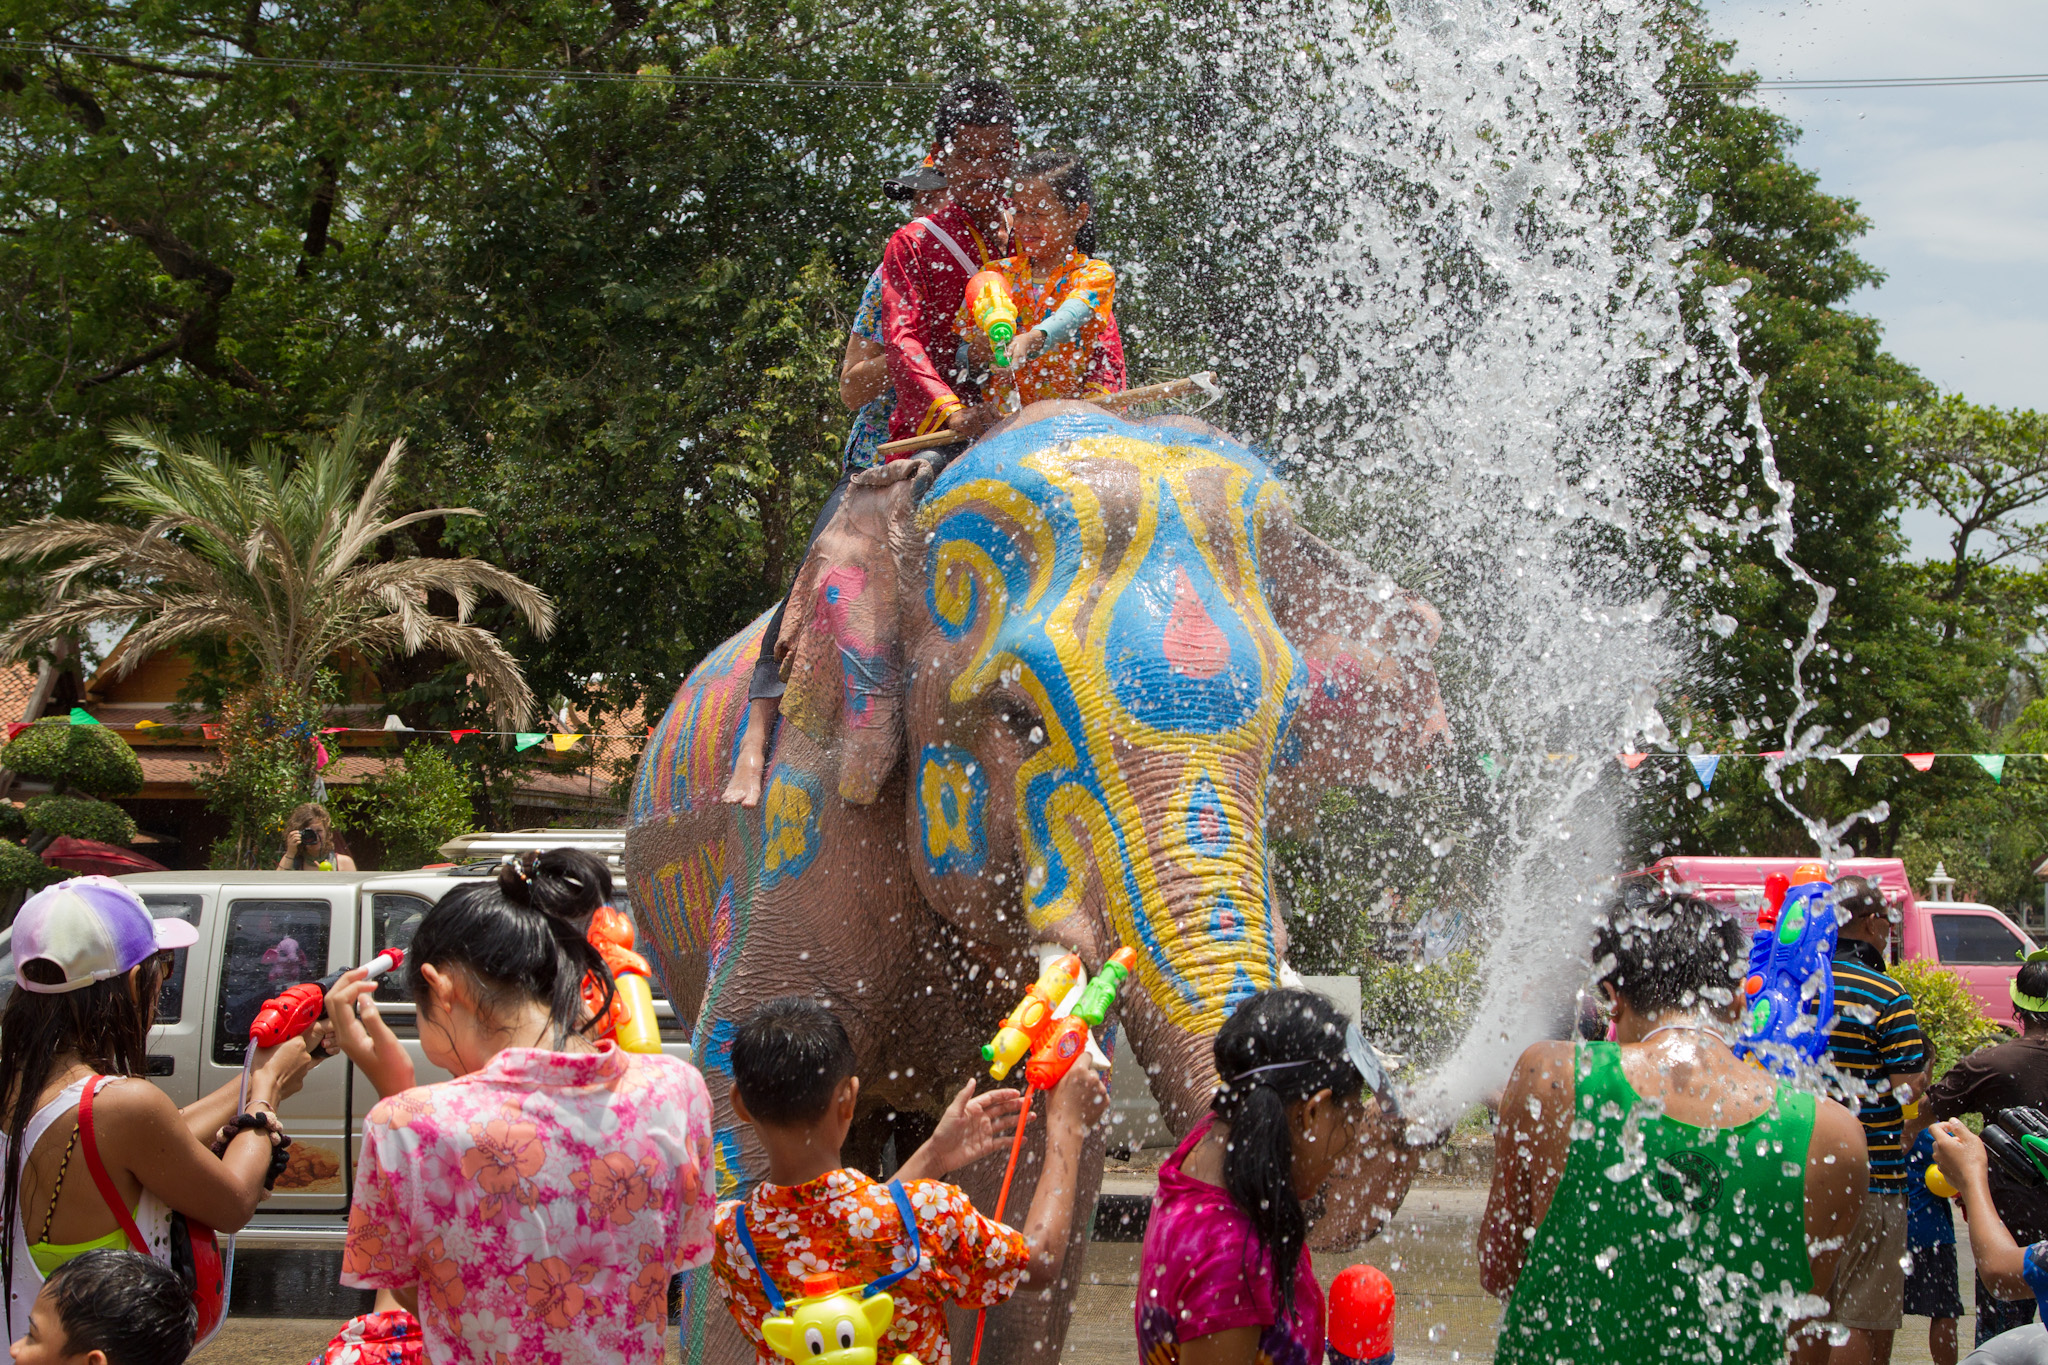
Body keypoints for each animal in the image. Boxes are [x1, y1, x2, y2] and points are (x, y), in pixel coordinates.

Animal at [630, 403, 1449, 1365]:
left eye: (1286, 735)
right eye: (1019, 720)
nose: (1360, 1114)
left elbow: (1018, 1209)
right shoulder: (803, 818)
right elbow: (743, 1103)